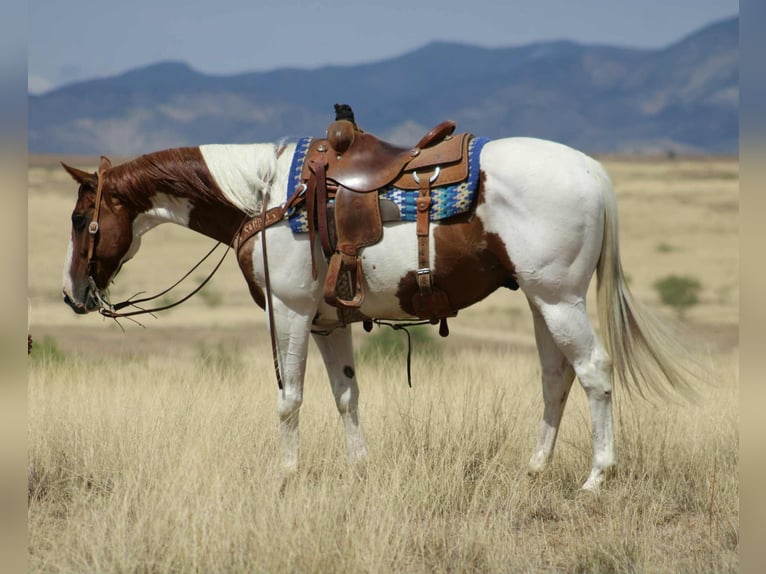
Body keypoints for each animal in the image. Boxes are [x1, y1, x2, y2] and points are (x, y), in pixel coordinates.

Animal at [61, 135, 699, 491]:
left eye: (79, 218)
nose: (71, 294)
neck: (264, 195)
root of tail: (593, 171)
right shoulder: (326, 322)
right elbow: (346, 394)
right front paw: (358, 468)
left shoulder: (289, 313)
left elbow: (289, 399)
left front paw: (285, 476)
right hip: (542, 301)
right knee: (555, 378)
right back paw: (536, 468)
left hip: (560, 299)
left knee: (594, 372)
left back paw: (596, 477)